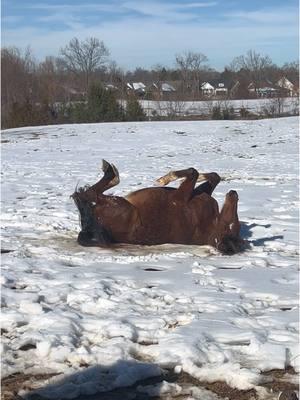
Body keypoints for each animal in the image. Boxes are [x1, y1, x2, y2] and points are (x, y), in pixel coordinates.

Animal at [71, 161, 245, 255]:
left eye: (230, 225)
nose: (234, 194)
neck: (210, 223)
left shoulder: (181, 196)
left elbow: (193, 172)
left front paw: (164, 180)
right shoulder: (199, 192)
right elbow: (213, 176)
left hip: (119, 205)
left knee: (89, 194)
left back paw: (110, 173)